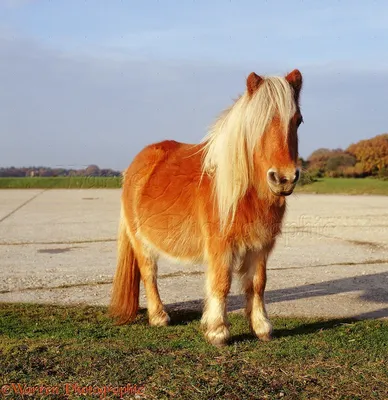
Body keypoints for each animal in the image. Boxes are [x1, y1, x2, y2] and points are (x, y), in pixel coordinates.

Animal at [109, 67, 304, 346]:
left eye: (298, 120)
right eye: (257, 123)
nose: (284, 178)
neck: (242, 192)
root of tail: (137, 163)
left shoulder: (260, 247)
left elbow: (258, 283)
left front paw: (262, 327)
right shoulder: (220, 246)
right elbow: (221, 283)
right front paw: (218, 331)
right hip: (141, 241)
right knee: (149, 273)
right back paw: (159, 317)